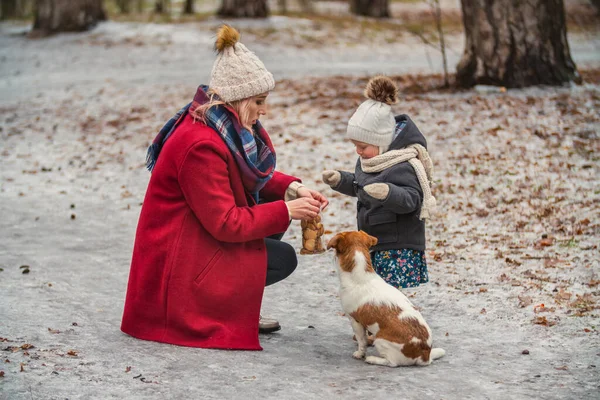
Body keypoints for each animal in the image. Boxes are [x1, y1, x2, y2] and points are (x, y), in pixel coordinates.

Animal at [326, 230, 442, 368]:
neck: (360, 276)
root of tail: (424, 355)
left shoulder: (355, 321)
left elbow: (362, 341)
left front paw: (360, 354)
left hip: (380, 340)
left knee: (392, 363)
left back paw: (373, 359)